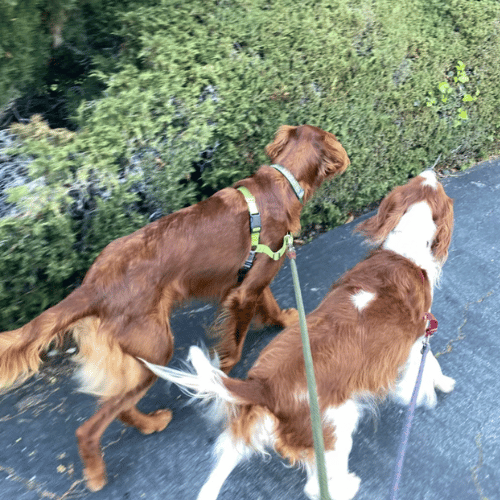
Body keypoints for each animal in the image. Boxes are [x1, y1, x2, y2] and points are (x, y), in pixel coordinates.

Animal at [0, 125, 350, 492]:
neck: (281, 182)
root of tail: (94, 285)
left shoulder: (252, 280)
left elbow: (269, 303)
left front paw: (283, 319)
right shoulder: (245, 292)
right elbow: (236, 346)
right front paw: (220, 374)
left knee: (117, 407)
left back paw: (147, 424)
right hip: (156, 348)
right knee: (91, 426)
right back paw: (102, 469)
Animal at [143, 170, 456, 500]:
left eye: (419, 182)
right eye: (433, 184)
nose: (431, 171)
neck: (403, 255)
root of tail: (263, 387)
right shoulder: (416, 343)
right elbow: (429, 368)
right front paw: (441, 386)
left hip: (253, 426)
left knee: (222, 466)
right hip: (337, 425)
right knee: (315, 485)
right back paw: (348, 486)